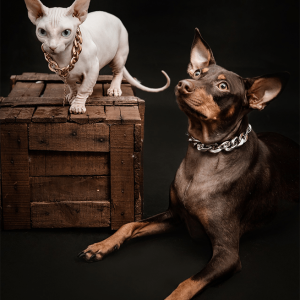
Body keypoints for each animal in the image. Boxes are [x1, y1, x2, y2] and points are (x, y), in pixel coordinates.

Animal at [24, 0, 170, 113]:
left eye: (66, 32)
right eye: (42, 32)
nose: (52, 47)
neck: (65, 57)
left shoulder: (93, 67)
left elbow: (83, 88)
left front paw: (78, 105)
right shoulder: (61, 72)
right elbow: (71, 84)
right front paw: (73, 95)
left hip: (119, 53)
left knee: (118, 71)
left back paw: (114, 88)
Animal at [78, 28, 300, 300]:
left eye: (222, 86)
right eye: (196, 73)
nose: (183, 84)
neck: (205, 156)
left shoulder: (227, 254)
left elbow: (188, 283)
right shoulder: (174, 216)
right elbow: (129, 225)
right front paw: (101, 245)